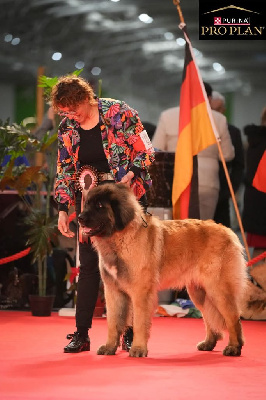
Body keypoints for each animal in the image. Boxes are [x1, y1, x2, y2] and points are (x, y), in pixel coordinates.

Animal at [78, 183, 248, 358]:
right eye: (87, 203)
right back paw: (208, 343)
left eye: (99, 206)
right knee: (209, 316)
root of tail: (229, 232)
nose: (79, 217)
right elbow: (113, 322)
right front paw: (109, 347)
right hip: (199, 293)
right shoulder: (113, 291)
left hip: (218, 290)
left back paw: (234, 347)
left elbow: (139, 322)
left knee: (233, 317)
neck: (120, 238)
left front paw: (138, 349)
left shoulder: (141, 293)